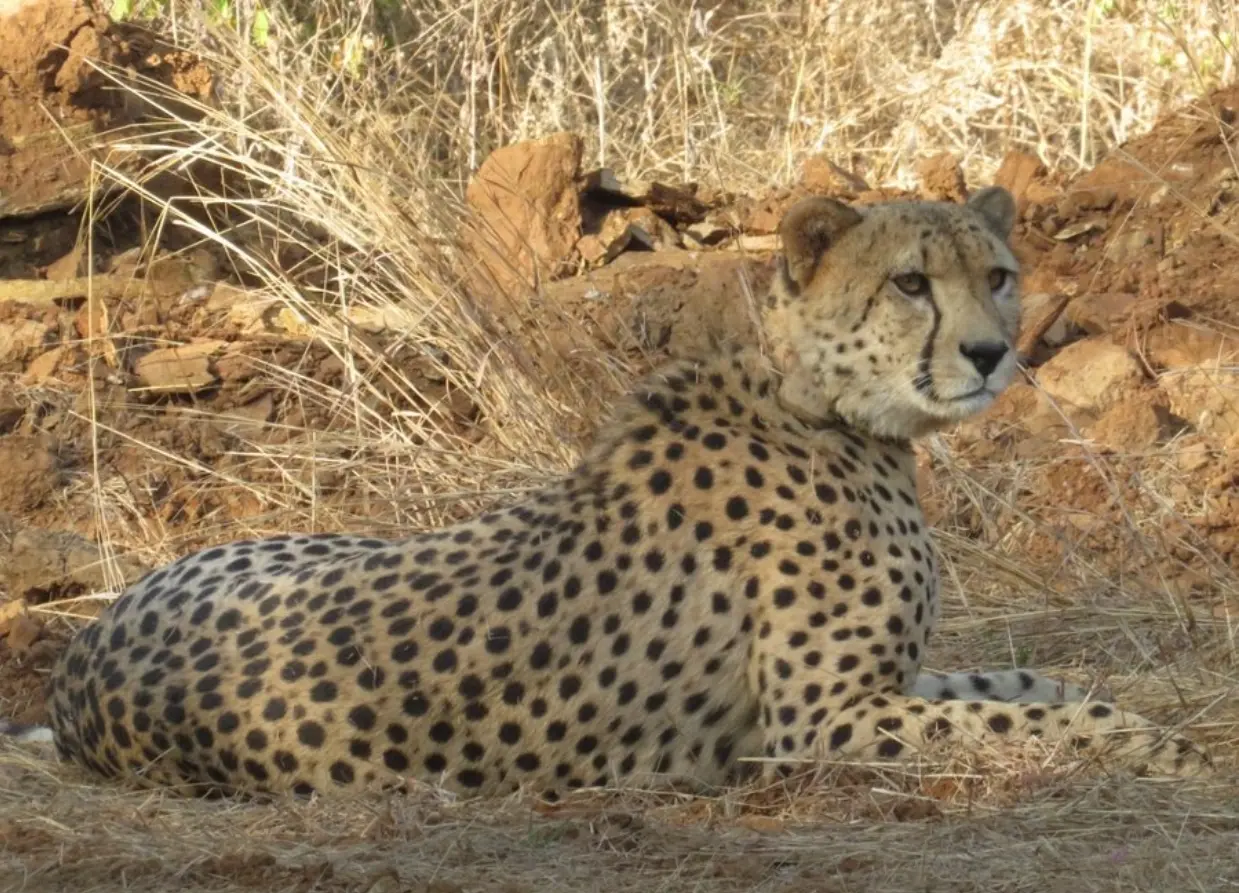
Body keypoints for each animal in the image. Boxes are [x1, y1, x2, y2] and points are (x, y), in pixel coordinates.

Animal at [2, 185, 1209, 799]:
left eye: (996, 274)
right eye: (910, 282)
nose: (991, 352)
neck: (821, 403)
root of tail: (79, 664)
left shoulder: (887, 680)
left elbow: (1032, 678)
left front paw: (1160, 711)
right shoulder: (816, 719)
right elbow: (1028, 715)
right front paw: (1166, 751)